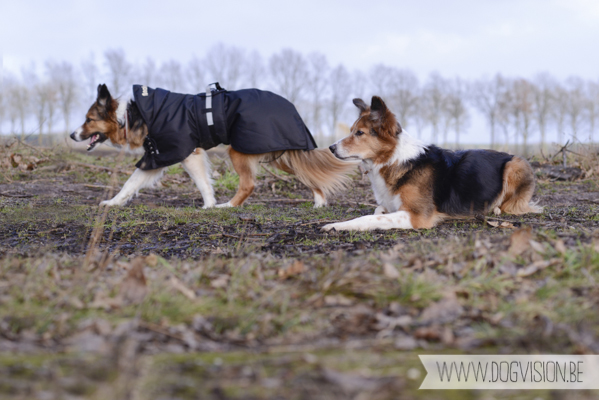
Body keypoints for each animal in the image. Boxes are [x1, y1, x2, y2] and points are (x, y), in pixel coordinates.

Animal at [70, 85, 356, 209]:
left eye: (88, 119)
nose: (72, 135)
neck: (131, 117)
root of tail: (290, 107)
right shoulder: (157, 155)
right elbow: (131, 184)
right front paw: (113, 202)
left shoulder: (183, 151)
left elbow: (201, 182)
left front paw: (209, 206)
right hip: (279, 154)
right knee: (308, 174)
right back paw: (319, 202)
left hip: (239, 150)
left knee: (248, 185)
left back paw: (228, 206)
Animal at [324, 95, 544, 231]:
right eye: (352, 130)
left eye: (359, 133)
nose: (331, 148)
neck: (393, 159)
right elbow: (378, 210)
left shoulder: (417, 215)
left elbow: (371, 217)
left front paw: (337, 225)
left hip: (515, 165)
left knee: (511, 204)